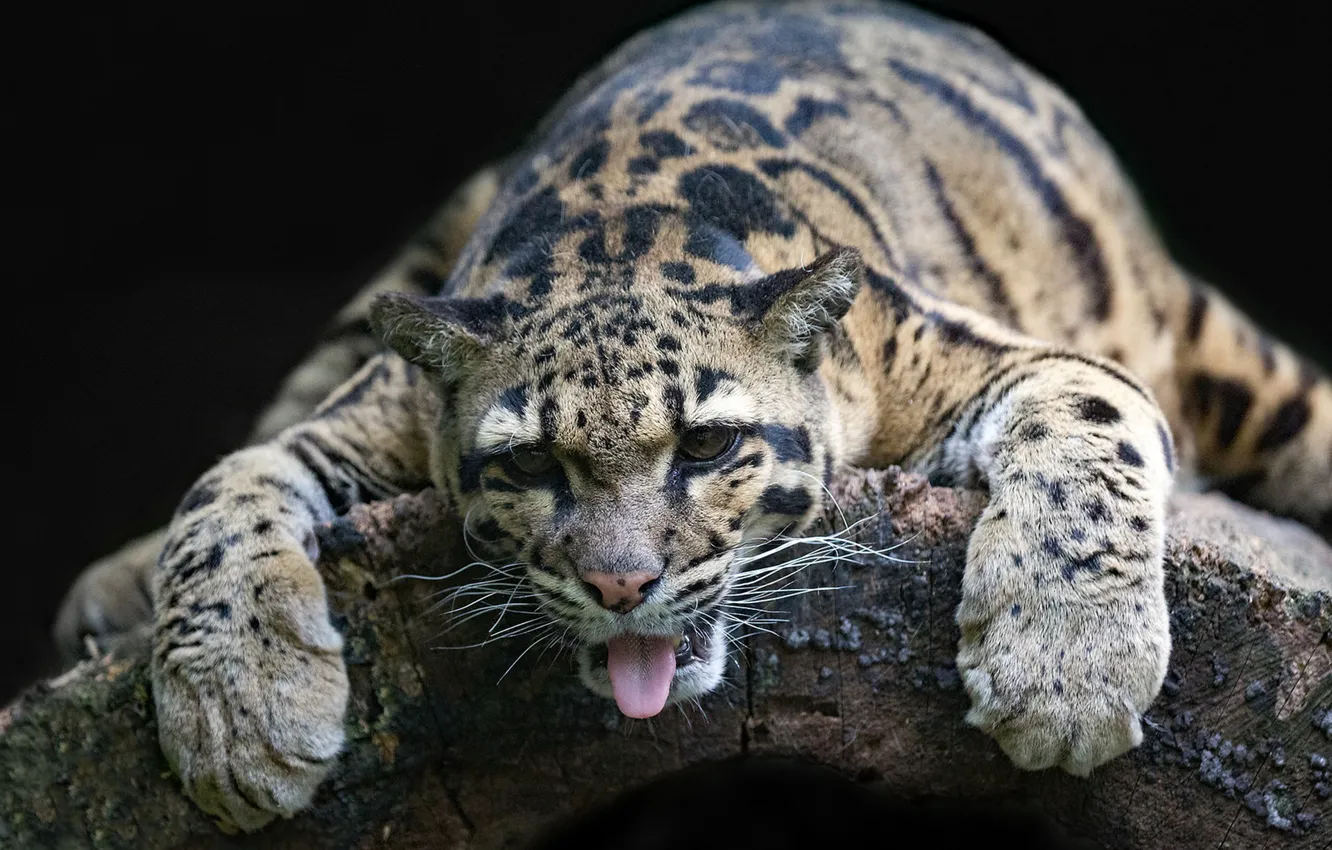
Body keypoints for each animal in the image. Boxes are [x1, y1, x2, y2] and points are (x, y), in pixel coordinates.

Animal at [54, 0, 1332, 832]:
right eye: (530, 466)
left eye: (709, 445)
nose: (623, 585)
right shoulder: (378, 407)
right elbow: (224, 487)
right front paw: (238, 718)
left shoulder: (985, 349)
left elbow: (1087, 429)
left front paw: (1064, 676)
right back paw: (106, 593)